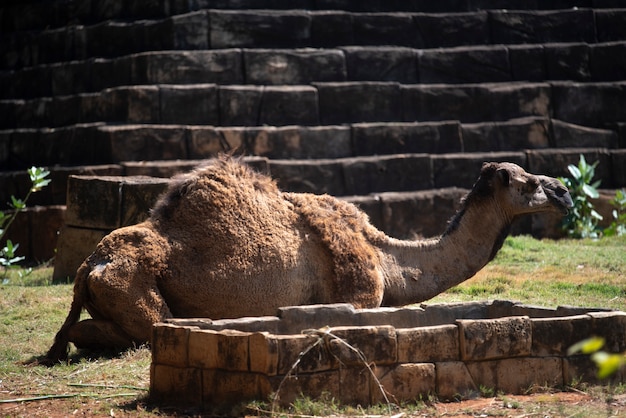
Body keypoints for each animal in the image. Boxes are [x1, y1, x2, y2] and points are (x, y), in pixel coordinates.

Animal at [42, 157, 572, 362]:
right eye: (528, 182)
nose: (565, 191)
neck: (388, 258)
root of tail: (90, 265)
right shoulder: (361, 296)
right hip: (134, 288)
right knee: (135, 332)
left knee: (82, 331)